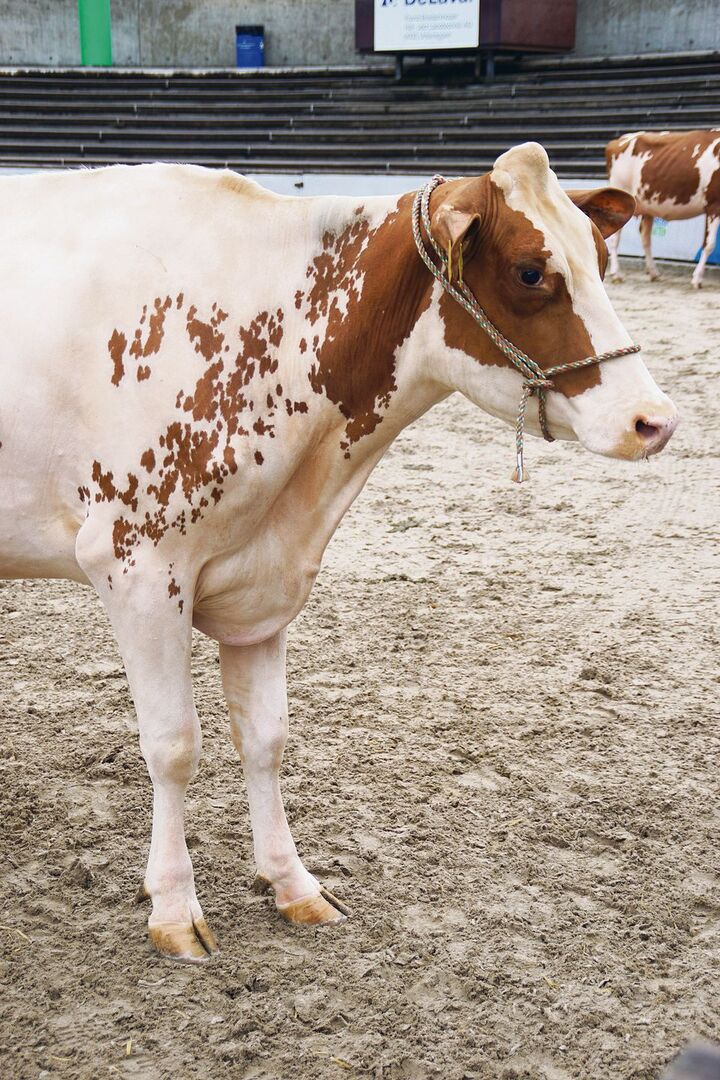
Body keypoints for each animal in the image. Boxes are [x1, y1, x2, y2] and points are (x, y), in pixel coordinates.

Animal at [0, 142, 678, 962]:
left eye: (601, 259)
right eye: (527, 271)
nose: (654, 420)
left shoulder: (264, 584)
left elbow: (265, 737)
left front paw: (292, 884)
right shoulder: (138, 565)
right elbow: (173, 746)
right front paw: (172, 907)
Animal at [606, 129, 720, 288]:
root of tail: (621, 139)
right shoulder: (714, 204)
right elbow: (709, 244)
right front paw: (697, 279)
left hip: (646, 206)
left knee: (645, 238)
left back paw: (653, 273)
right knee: (615, 238)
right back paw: (616, 274)